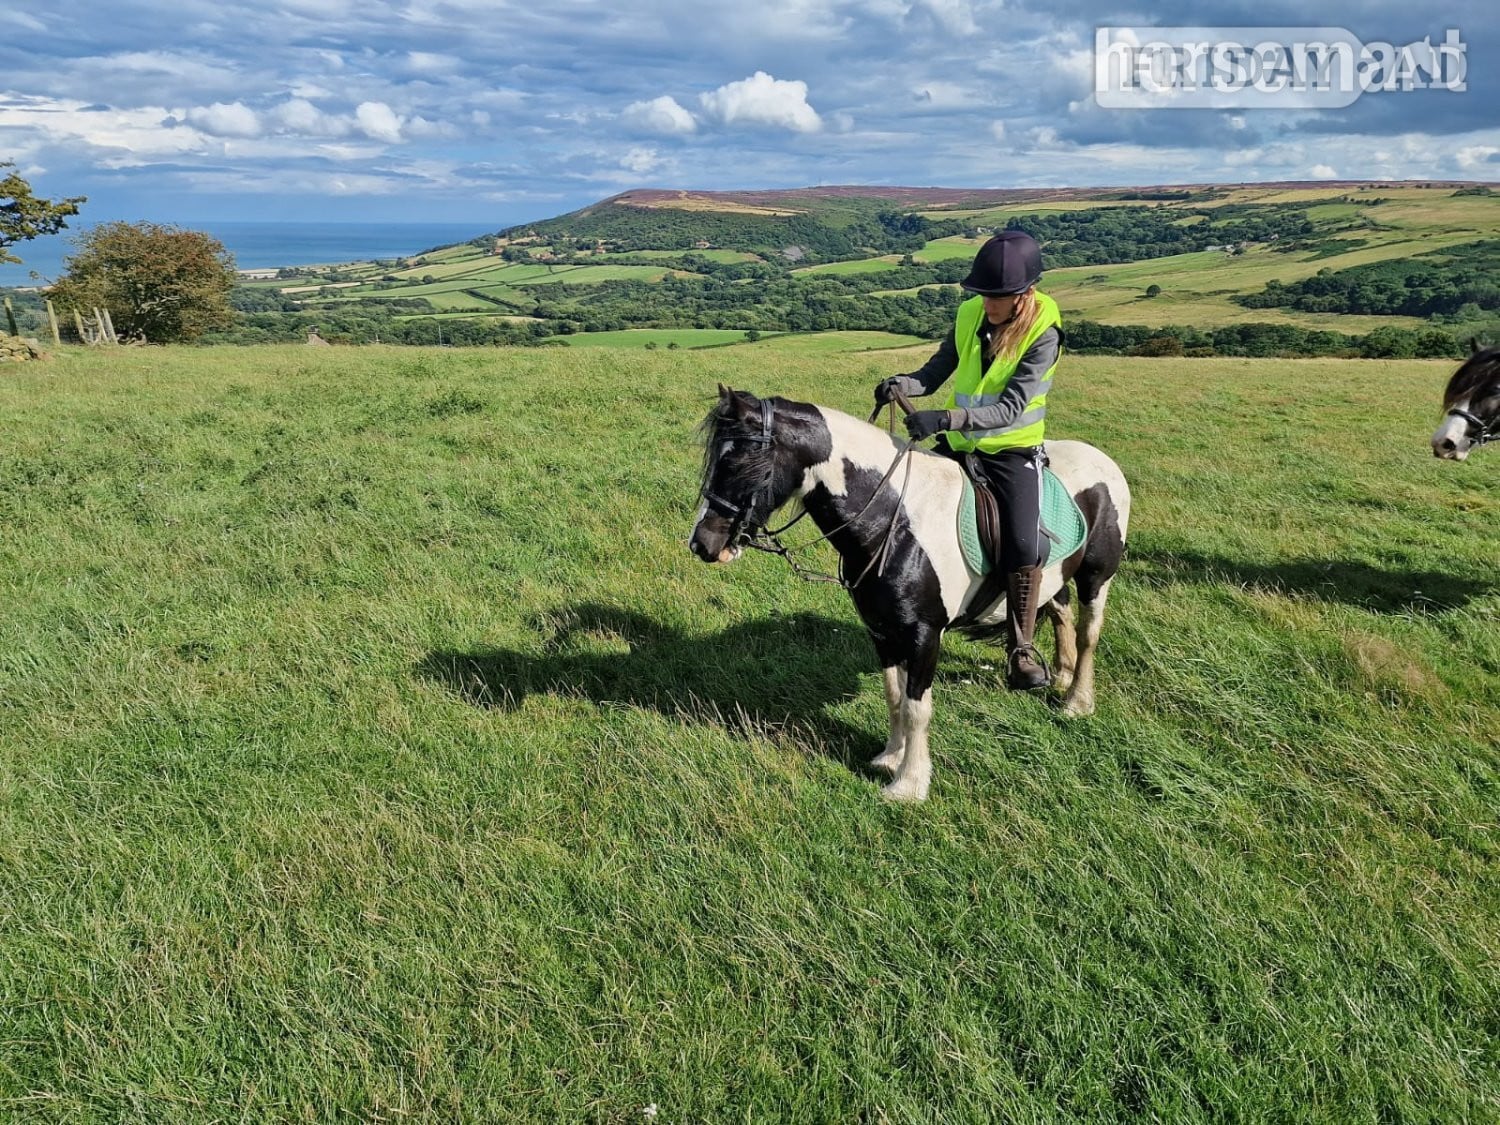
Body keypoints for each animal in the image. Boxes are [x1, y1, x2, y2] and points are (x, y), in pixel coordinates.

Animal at [689, 386, 1131, 802]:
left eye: (738, 462)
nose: (703, 545)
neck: (894, 520)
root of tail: (1102, 460)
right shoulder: (882, 629)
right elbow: (894, 696)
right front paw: (889, 757)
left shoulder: (923, 634)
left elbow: (918, 707)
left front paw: (910, 784)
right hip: (1056, 577)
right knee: (1059, 612)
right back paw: (1059, 674)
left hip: (1096, 576)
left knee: (1088, 633)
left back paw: (1077, 701)